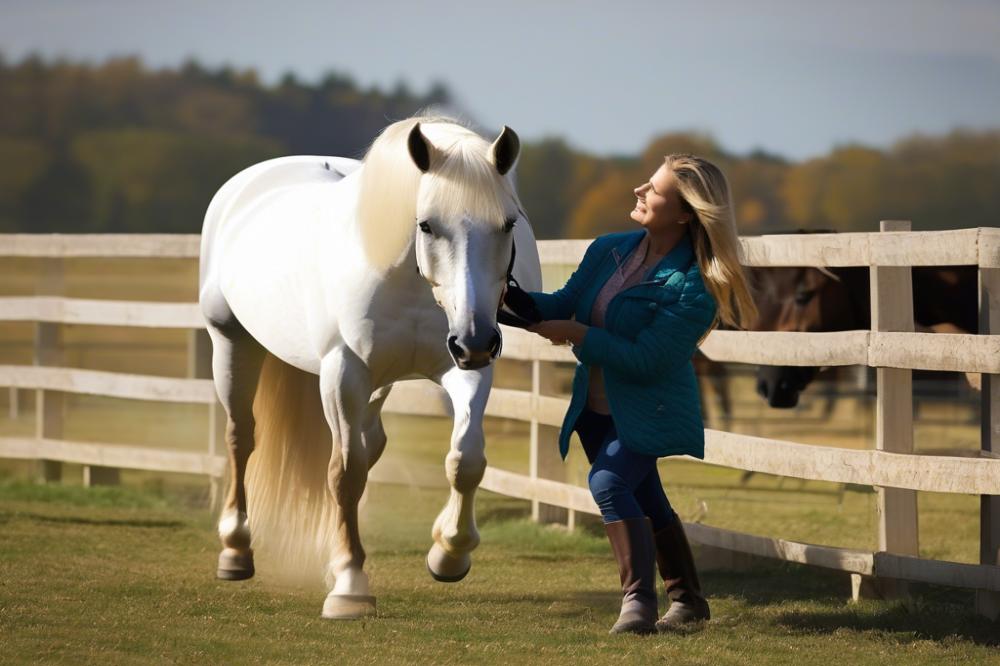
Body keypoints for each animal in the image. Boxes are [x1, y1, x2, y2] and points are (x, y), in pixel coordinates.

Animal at [199, 115, 544, 616]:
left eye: (507, 223)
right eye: (427, 225)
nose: (477, 339)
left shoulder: (465, 371)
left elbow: (466, 460)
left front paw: (448, 552)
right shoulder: (344, 372)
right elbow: (345, 474)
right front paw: (349, 586)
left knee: (371, 442)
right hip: (231, 341)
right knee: (241, 438)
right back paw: (236, 550)